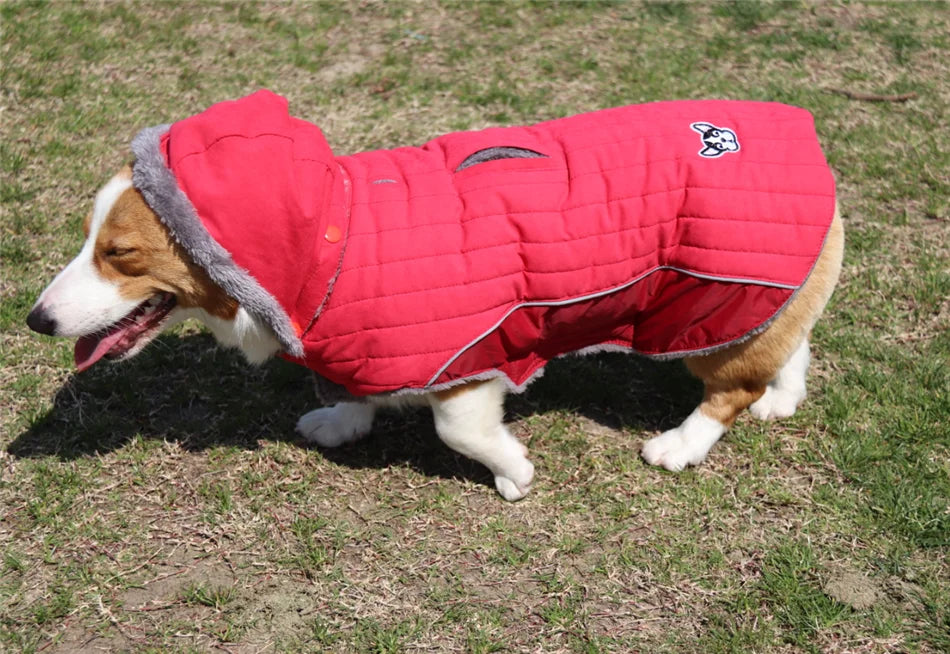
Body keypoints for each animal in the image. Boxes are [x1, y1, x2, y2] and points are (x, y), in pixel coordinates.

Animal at [26, 91, 844, 502]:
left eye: (119, 254)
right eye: (87, 238)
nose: (35, 318)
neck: (332, 237)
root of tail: (800, 131)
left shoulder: (468, 361)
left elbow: (461, 433)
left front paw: (514, 475)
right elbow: (352, 391)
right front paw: (341, 422)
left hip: (710, 302)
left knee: (728, 390)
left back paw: (681, 444)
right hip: (757, 302)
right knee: (793, 342)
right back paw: (783, 397)